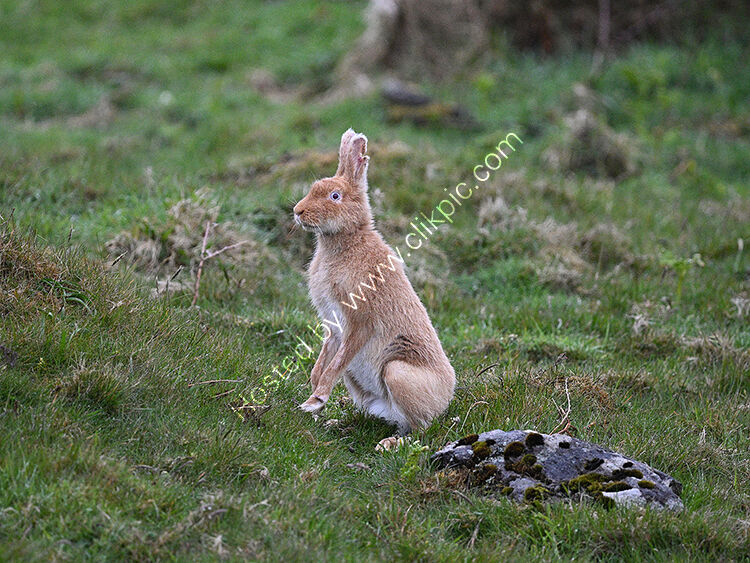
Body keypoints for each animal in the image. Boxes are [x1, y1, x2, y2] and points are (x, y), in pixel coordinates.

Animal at [293, 128, 455, 434]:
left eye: (335, 196)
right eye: (314, 187)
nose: (297, 211)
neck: (348, 239)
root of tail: (445, 400)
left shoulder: (359, 322)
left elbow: (336, 364)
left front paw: (315, 401)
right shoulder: (333, 328)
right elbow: (322, 362)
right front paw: (314, 398)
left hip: (397, 372)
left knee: (418, 428)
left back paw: (391, 441)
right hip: (359, 383)